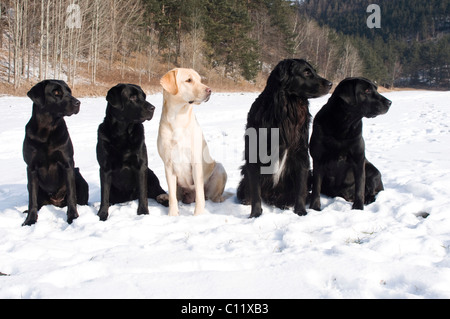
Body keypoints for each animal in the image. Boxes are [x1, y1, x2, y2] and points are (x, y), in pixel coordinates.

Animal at [22, 80, 89, 226]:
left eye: (69, 91)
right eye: (56, 92)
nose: (78, 102)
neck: (46, 130)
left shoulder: (67, 163)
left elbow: (71, 196)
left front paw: (72, 217)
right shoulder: (31, 168)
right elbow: (32, 199)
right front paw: (30, 220)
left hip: (78, 176)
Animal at [97, 84, 169, 221]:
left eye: (144, 96)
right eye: (133, 97)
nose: (153, 108)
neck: (122, 133)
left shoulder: (141, 166)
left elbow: (143, 193)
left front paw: (143, 212)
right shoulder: (105, 168)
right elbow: (104, 195)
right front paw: (102, 214)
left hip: (150, 175)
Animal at [236, 59, 330, 219]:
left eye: (314, 71)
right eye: (306, 72)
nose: (330, 84)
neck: (286, 110)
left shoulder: (301, 154)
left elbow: (300, 188)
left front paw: (300, 211)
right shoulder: (254, 156)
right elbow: (255, 192)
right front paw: (255, 214)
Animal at [312, 78, 392, 212]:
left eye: (376, 88)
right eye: (367, 90)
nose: (389, 102)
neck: (343, 125)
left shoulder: (358, 160)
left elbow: (359, 186)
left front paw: (358, 208)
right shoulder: (318, 160)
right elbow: (316, 187)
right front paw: (314, 208)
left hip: (373, 171)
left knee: (371, 191)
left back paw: (368, 199)